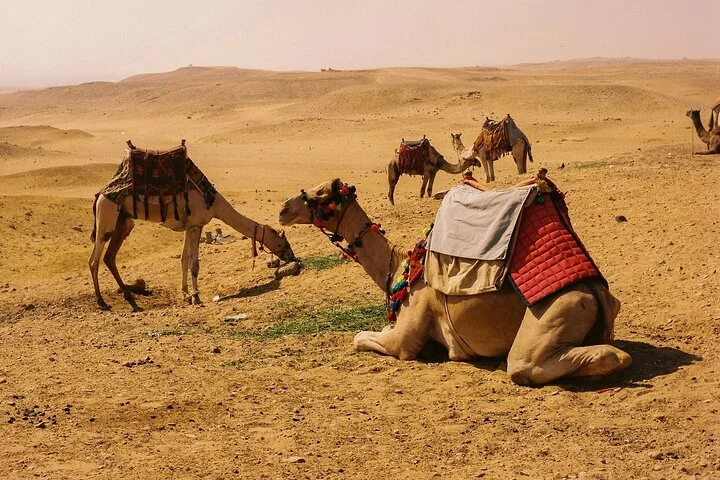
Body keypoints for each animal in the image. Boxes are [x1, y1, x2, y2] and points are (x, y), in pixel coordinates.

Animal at [90, 164, 296, 312]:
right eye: (283, 242)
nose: (292, 256)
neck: (214, 203)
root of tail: (100, 194)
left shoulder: (191, 226)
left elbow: (183, 259)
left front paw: (186, 295)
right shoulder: (196, 225)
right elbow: (194, 263)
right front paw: (196, 297)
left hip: (123, 221)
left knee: (109, 257)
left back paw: (128, 296)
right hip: (107, 217)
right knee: (95, 259)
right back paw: (101, 302)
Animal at [279, 178, 632, 385]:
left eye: (320, 195)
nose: (283, 209)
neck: (399, 268)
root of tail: (595, 291)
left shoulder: (406, 337)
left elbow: (361, 337)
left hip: (555, 314)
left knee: (542, 363)